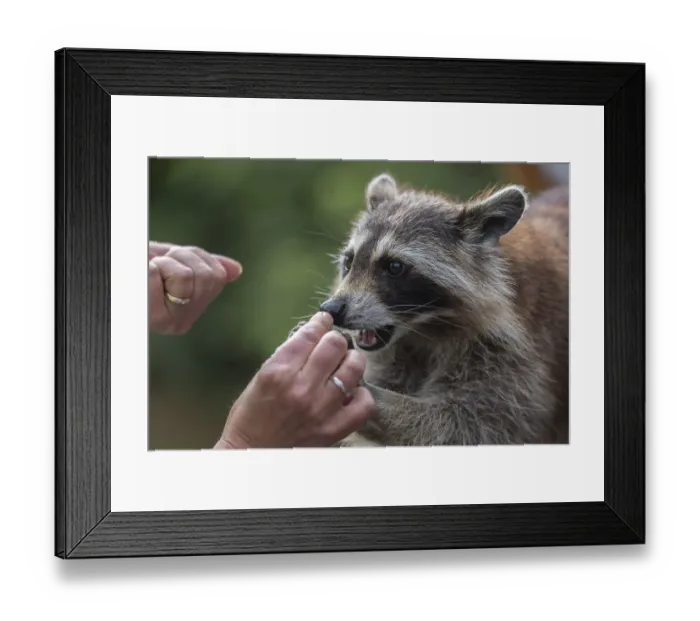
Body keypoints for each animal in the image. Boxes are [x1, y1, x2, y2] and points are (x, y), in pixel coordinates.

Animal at [294, 173, 569, 447]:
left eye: (394, 267)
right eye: (349, 262)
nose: (331, 309)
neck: (425, 329)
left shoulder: (514, 351)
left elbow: (471, 425)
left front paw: (370, 392)